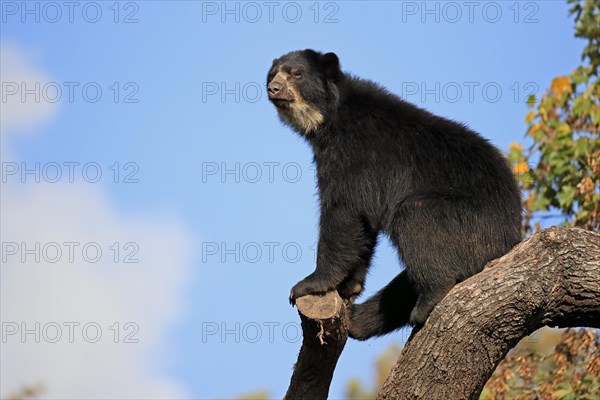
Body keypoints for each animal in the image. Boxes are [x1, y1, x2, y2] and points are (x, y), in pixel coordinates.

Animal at [268, 48, 520, 340]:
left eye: (297, 74)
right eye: (272, 74)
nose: (273, 88)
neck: (330, 119)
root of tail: (512, 236)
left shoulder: (353, 155)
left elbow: (344, 212)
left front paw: (309, 283)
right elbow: (362, 226)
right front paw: (349, 287)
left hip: (470, 225)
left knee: (416, 219)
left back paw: (427, 300)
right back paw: (358, 320)